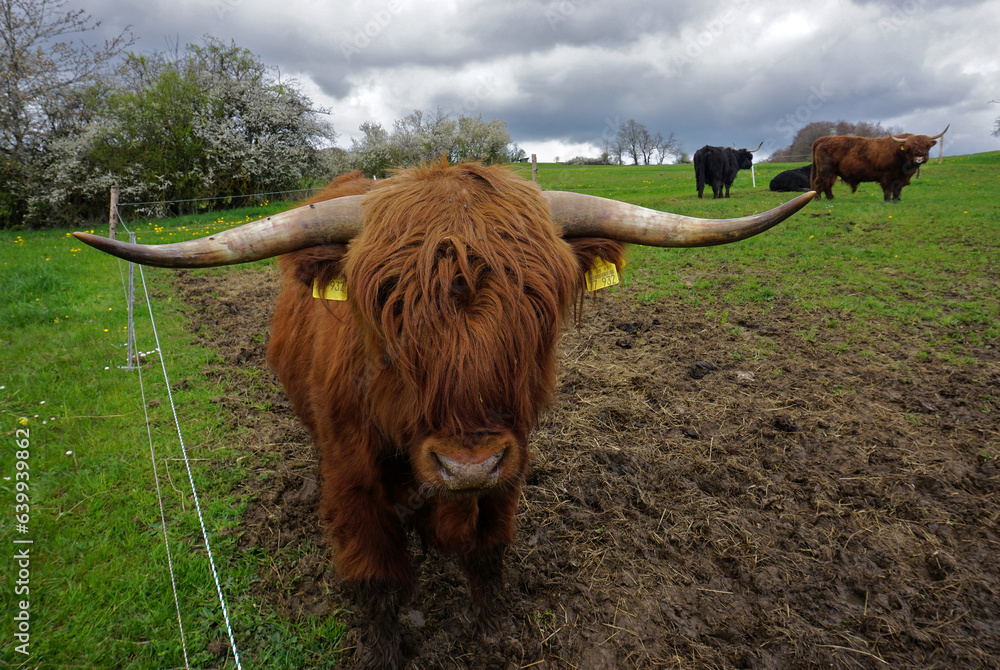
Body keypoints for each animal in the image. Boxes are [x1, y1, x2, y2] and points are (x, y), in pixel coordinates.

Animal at [74, 160, 814, 669]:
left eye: (539, 309)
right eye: (387, 310)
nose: (467, 464)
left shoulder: (512, 462)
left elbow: (487, 553)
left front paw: (492, 632)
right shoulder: (352, 478)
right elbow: (376, 577)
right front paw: (387, 649)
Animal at [810, 126, 948, 202]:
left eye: (927, 146)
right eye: (909, 148)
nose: (919, 158)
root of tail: (824, 138)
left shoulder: (899, 178)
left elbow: (897, 189)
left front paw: (897, 200)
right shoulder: (886, 175)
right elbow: (887, 189)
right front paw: (887, 201)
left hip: (832, 172)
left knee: (827, 184)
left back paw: (831, 198)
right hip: (825, 170)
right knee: (820, 182)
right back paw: (818, 199)